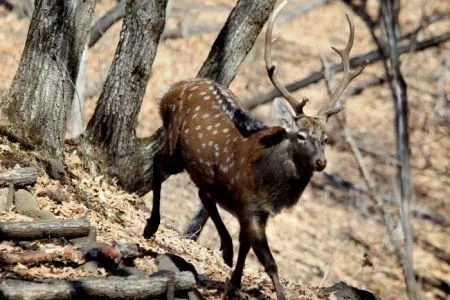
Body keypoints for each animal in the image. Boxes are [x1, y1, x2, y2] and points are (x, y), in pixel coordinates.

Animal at [143, 1, 366, 298]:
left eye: (325, 138)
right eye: (300, 136)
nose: (321, 163)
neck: (267, 181)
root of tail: (170, 91)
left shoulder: (256, 212)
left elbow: (246, 248)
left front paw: (234, 284)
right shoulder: (250, 204)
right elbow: (270, 262)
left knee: (203, 192)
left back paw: (225, 249)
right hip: (174, 145)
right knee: (159, 162)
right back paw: (151, 227)